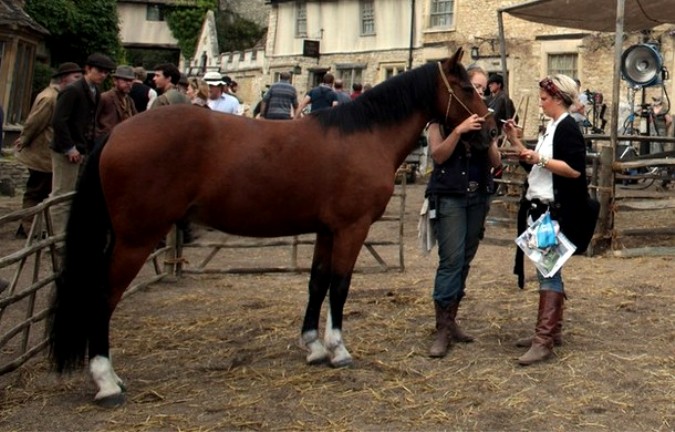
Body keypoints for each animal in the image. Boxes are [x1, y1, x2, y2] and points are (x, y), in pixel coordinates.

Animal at [47, 49, 500, 406]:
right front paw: (338, 350)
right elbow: (340, 286)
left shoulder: (326, 230)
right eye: (465, 87)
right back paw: (107, 382)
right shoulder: (350, 229)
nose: (492, 129)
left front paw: (313, 346)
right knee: (103, 298)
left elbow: (317, 283)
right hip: (135, 239)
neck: (364, 134)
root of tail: (116, 134)